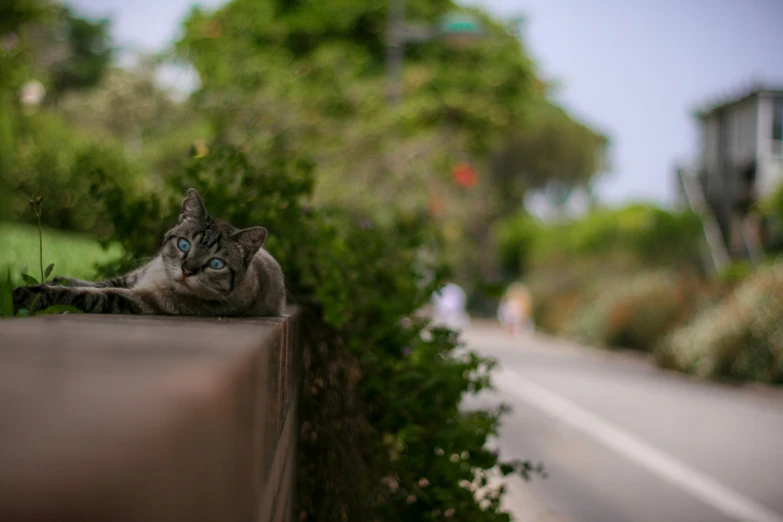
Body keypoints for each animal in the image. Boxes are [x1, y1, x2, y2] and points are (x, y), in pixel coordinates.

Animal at [11, 188, 288, 314]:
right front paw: (57, 280)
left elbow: (84, 295)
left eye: (216, 264)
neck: (161, 278)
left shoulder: (141, 301)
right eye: (184, 245)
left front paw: (28, 294)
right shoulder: (134, 278)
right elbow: (97, 283)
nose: (187, 270)